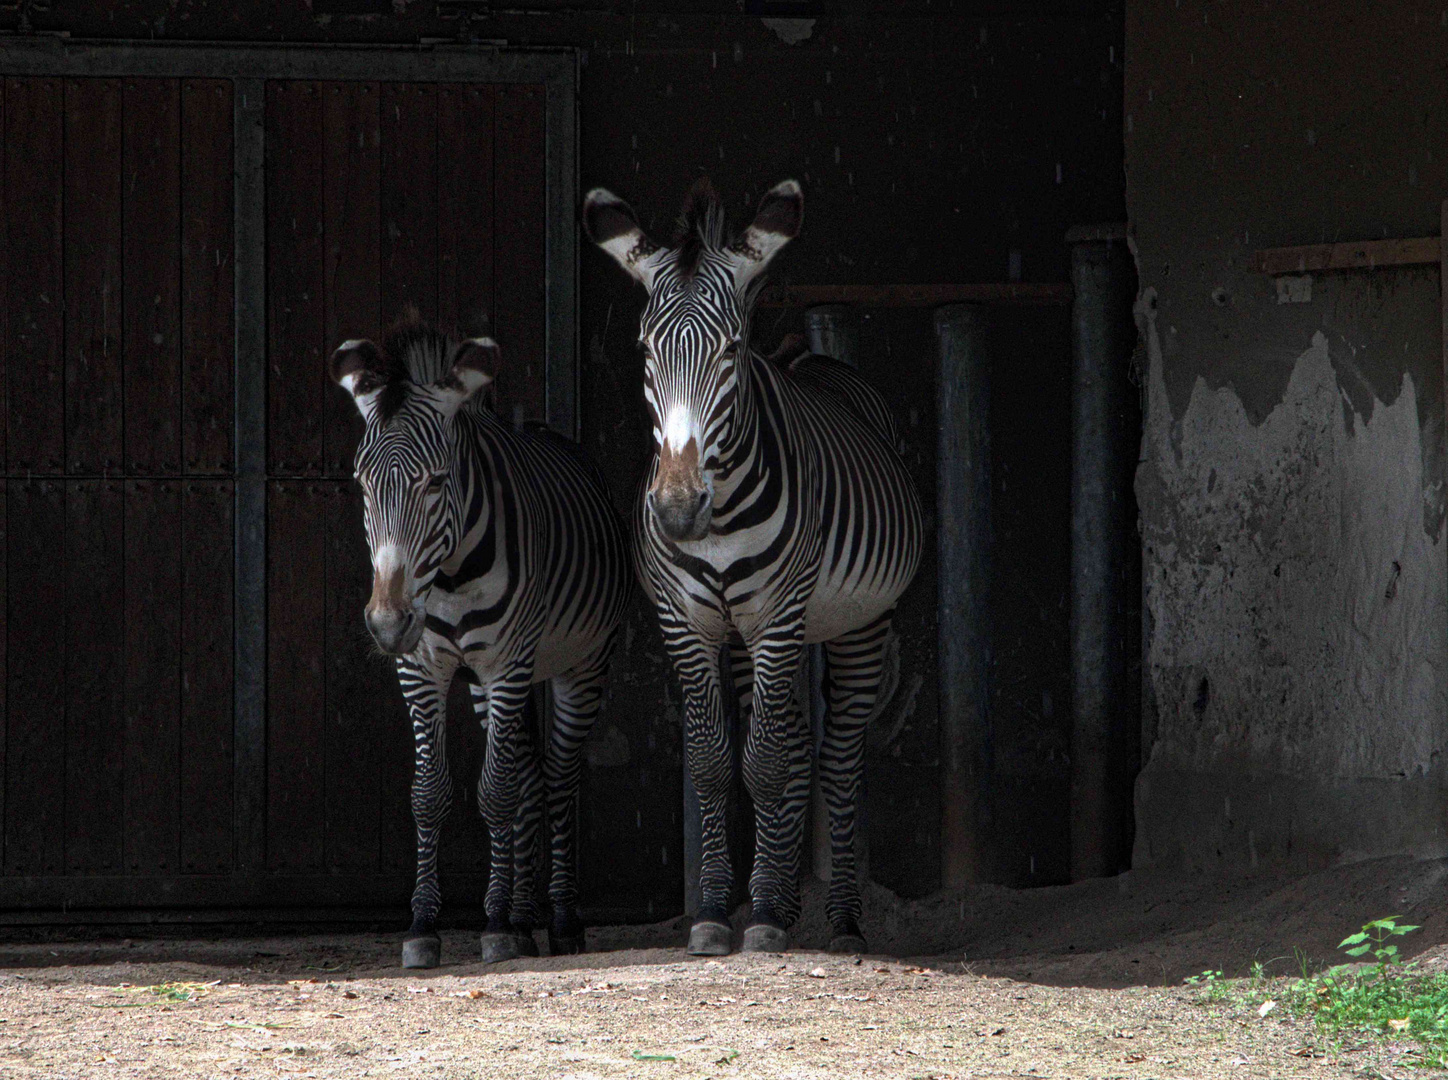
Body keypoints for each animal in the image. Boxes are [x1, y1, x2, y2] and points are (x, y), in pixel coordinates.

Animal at [331, 315, 631, 961]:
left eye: (436, 482)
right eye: (362, 485)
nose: (387, 624)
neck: (447, 575)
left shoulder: (507, 664)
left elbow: (493, 793)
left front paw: (492, 927)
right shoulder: (423, 669)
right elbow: (430, 793)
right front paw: (424, 927)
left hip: (580, 665)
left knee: (557, 780)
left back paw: (559, 920)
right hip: (487, 683)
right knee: (528, 780)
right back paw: (521, 920)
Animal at [582, 176, 920, 949]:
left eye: (731, 349)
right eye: (644, 348)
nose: (679, 510)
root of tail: (808, 357)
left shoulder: (778, 614)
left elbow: (763, 763)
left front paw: (761, 919)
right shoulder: (687, 622)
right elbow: (714, 764)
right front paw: (714, 914)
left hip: (856, 623)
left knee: (838, 759)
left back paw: (842, 921)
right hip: (751, 637)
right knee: (796, 744)